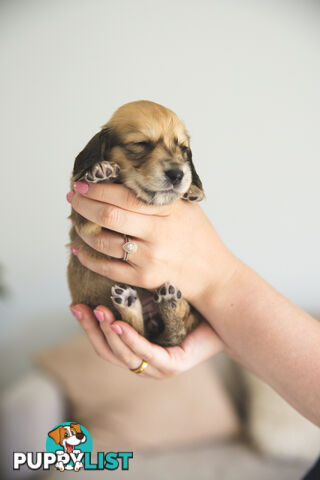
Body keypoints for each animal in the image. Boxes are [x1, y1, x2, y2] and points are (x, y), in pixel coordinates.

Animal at [69, 100, 206, 344]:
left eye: (183, 149)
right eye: (141, 144)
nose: (177, 174)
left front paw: (193, 190)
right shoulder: (84, 217)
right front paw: (101, 171)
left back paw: (168, 301)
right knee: (135, 329)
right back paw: (131, 304)